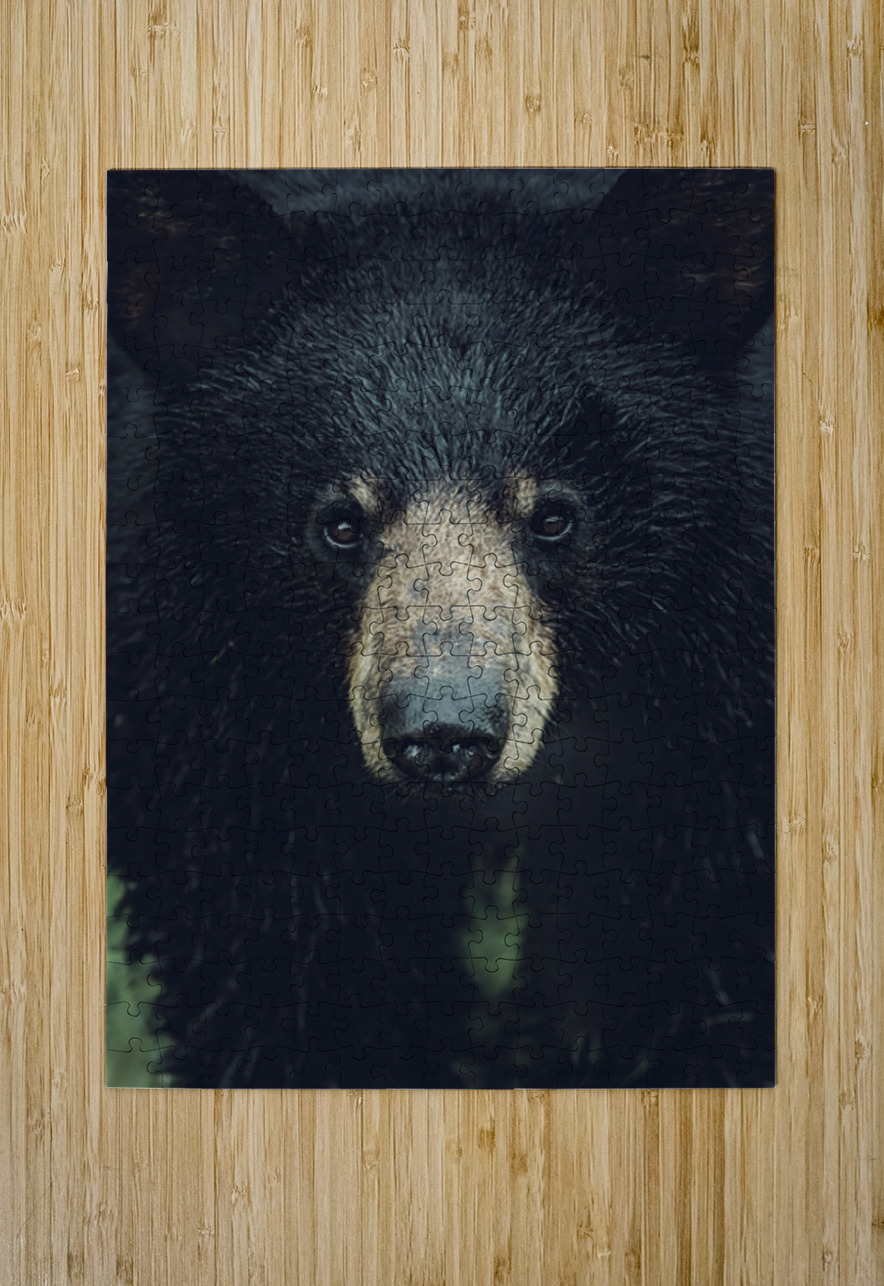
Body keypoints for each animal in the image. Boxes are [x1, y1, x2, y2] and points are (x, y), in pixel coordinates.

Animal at [106, 168, 775, 1089]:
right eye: (339, 524)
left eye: (554, 517)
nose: (444, 732)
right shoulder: (206, 699)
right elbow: (270, 952)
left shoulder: (718, 699)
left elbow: (690, 945)